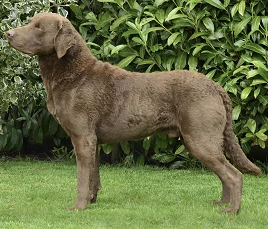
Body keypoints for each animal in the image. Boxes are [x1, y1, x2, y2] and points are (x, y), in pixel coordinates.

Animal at [6, 12, 262, 213]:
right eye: (30, 22)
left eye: (38, 27)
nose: (8, 33)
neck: (75, 73)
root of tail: (216, 86)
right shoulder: (93, 140)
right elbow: (93, 175)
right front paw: (92, 201)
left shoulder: (82, 136)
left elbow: (82, 177)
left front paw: (78, 207)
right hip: (205, 139)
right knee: (225, 173)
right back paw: (222, 203)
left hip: (200, 138)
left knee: (234, 175)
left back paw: (231, 211)